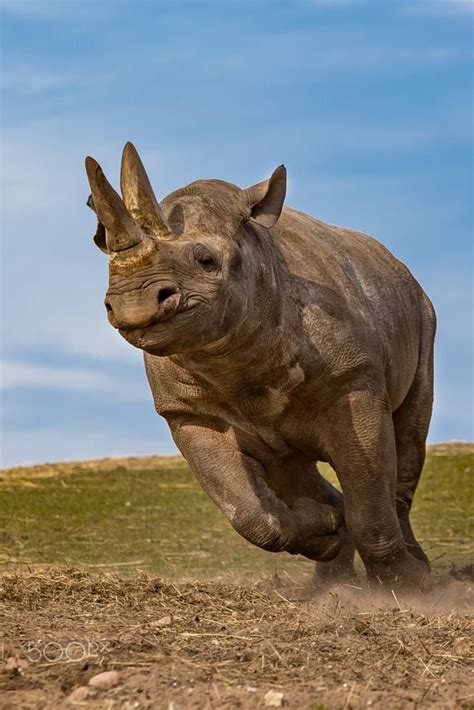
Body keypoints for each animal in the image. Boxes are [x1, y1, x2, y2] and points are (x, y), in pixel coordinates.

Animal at [86, 142, 436, 592]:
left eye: (206, 261)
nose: (133, 304)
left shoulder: (353, 381)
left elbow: (370, 500)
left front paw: (407, 586)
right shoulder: (188, 411)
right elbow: (248, 512)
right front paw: (324, 527)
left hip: (421, 312)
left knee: (408, 440)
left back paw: (415, 573)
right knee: (290, 465)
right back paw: (330, 577)